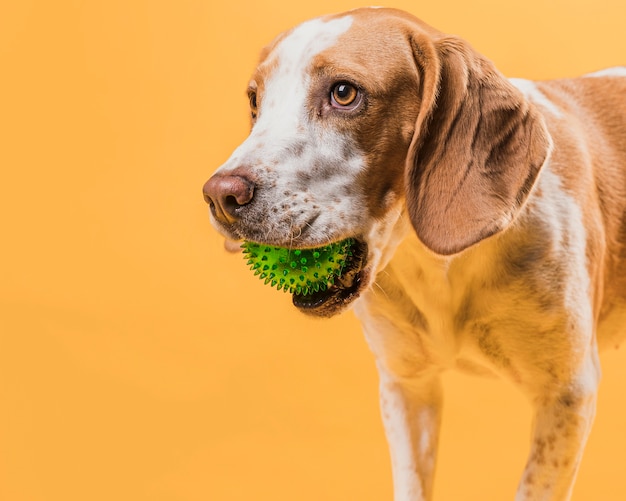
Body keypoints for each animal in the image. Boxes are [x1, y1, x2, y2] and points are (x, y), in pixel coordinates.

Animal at [201, 7, 624, 500]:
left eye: (344, 93)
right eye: (255, 100)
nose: (220, 195)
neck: (438, 263)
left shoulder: (566, 396)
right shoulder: (407, 387)